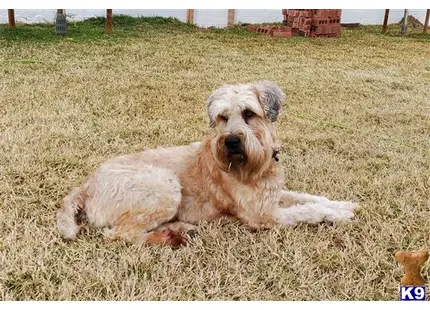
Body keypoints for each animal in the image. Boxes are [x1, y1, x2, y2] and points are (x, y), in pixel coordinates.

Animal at [57, 80, 360, 247]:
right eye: (222, 117)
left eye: (249, 113)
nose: (231, 142)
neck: (255, 166)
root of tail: (85, 186)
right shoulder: (262, 215)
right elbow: (306, 211)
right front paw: (339, 214)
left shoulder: (274, 195)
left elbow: (308, 197)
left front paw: (343, 204)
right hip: (164, 185)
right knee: (119, 234)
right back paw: (170, 238)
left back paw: (179, 228)